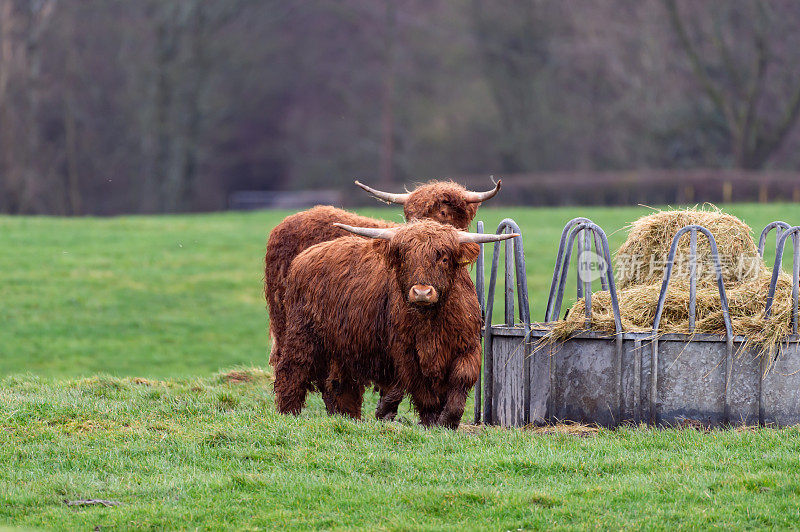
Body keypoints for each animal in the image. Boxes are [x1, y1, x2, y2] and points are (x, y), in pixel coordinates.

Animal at [272, 219, 516, 428]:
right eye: (405, 258)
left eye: (444, 258)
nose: (422, 292)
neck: (431, 322)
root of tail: (305, 255)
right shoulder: (406, 352)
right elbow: (423, 392)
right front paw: (430, 422)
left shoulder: (468, 346)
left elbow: (461, 379)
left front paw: (449, 422)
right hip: (302, 332)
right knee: (292, 369)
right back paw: (288, 413)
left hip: (344, 346)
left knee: (340, 384)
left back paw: (347, 417)